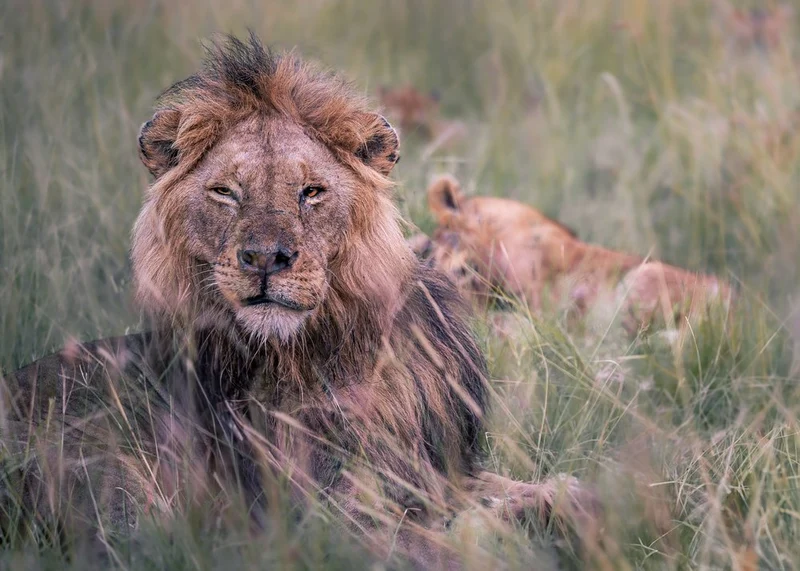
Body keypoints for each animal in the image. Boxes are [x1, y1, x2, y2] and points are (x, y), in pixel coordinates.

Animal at [2, 35, 595, 568]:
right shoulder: (327, 515)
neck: (330, 350)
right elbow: (440, 549)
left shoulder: (437, 474)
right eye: (225, 192)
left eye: (311, 192)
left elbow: (560, 491)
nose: (266, 257)